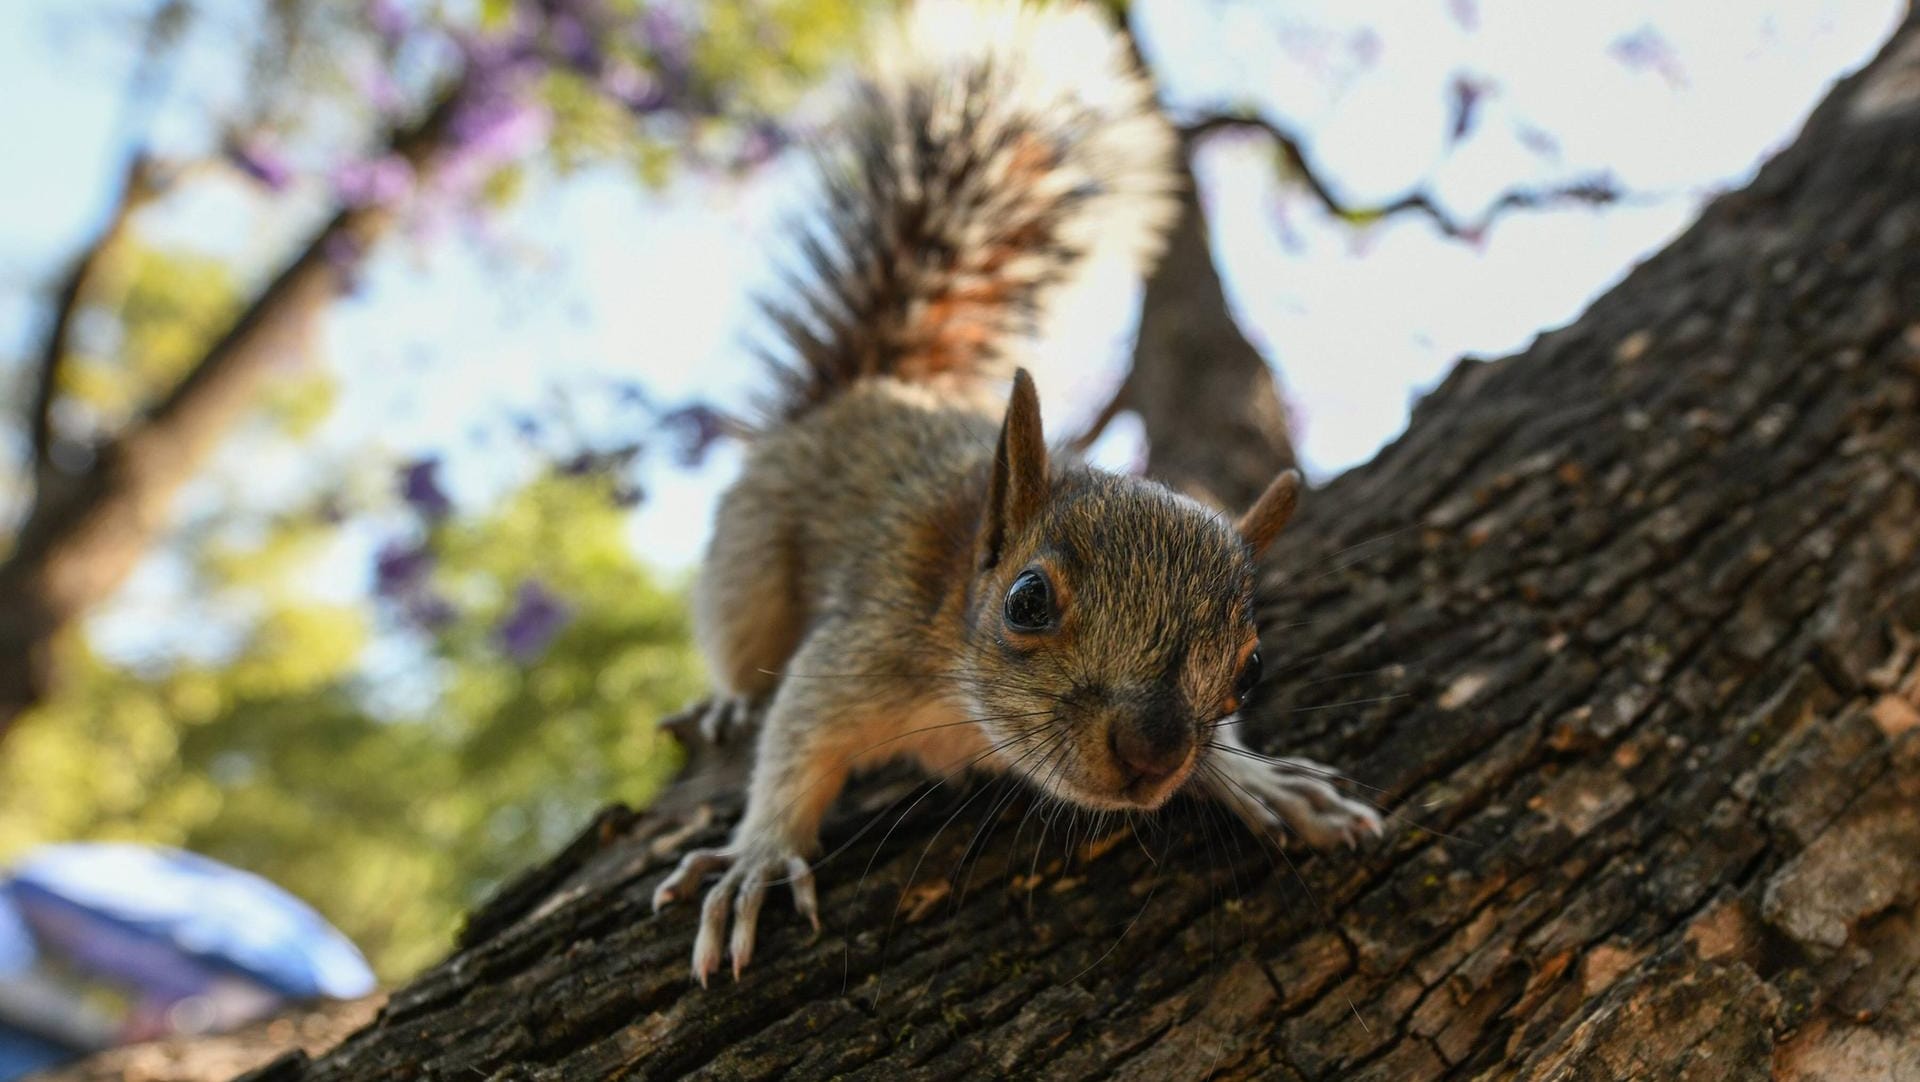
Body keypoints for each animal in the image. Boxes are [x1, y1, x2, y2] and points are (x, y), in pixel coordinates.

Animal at [656, 0, 1382, 989]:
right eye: (1027, 600)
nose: (1154, 754)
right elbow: (796, 740)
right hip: (749, 562)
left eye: (1252, 669)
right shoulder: (863, 649)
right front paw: (759, 857)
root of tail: (869, 388)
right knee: (742, 641)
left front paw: (1255, 776)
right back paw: (728, 699)